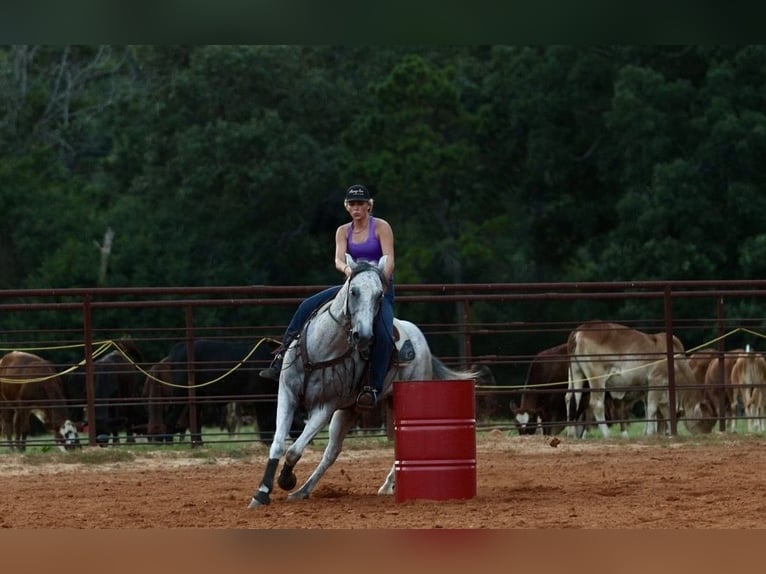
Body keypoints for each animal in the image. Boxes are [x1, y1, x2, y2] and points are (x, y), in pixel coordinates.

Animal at [248, 256, 482, 508]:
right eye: (354, 291)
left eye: (379, 295)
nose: (364, 336)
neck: (321, 350)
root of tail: (420, 339)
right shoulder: (287, 393)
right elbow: (278, 443)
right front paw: (262, 492)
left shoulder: (325, 407)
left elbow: (293, 450)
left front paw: (286, 479)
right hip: (350, 410)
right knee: (332, 452)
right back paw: (304, 491)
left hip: (395, 400)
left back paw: (386, 485)